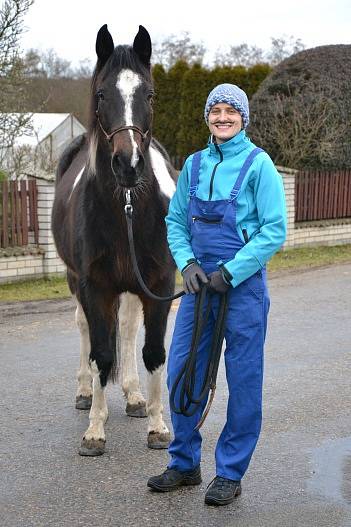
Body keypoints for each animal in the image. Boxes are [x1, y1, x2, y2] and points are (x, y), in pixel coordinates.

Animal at [51, 22, 179, 456]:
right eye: (102, 94)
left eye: (150, 94)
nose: (129, 164)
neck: (127, 210)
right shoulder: (95, 286)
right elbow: (101, 353)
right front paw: (95, 430)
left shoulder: (159, 284)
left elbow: (153, 352)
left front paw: (158, 424)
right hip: (77, 281)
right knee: (85, 330)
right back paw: (85, 392)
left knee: (126, 328)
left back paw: (135, 395)